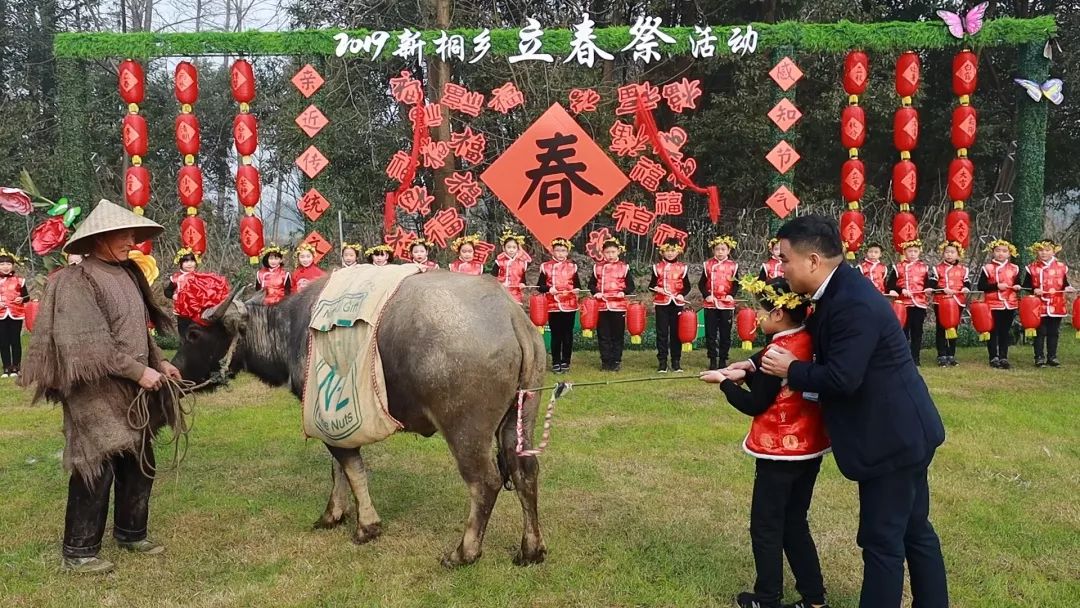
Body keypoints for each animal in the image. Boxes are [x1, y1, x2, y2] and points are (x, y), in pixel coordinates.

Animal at [177, 271, 552, 565]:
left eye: (193, 333)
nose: (176, 373)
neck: (292, 331)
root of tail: (510, 316)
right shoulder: (331, 421)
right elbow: (339, 471)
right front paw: (333, 514)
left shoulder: (333, 417)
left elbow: (351, 468)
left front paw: (366, 526)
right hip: (522, 416)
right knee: (525, 471)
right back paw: (530, 549)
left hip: (465, 429)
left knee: (485, 482)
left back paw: (464, 552)